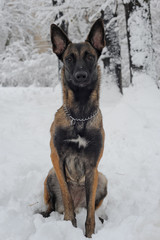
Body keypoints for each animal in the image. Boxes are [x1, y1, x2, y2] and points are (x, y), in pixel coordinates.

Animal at [42, 18, 107, 238]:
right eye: (69, 59)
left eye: (90, 57)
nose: (80, 76)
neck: (79, 116)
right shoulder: (57, 157)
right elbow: (67, 196)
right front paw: (69, 224)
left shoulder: (92, 167)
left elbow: (90, 214)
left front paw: (89, 233)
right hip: (50, 175)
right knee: (53, 204)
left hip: (102, 179)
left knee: (90, 207)